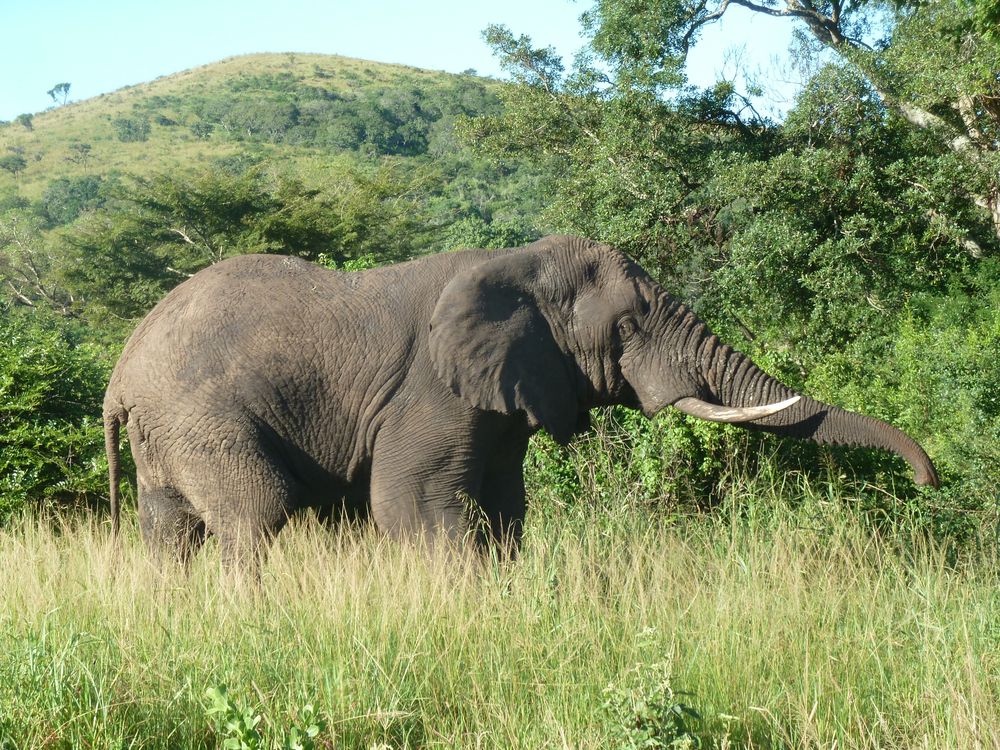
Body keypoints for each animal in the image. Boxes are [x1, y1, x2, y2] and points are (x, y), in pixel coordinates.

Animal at [105, 235, 940, 568]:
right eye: (628, 327)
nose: (929, 481)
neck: (518, 262)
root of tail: (118, 378)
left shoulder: (506, 399)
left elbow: (505, 511)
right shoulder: (431, 391)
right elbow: (413, 509)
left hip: (166, 434)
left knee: (168, 534)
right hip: (200, 418)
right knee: (253, 517)